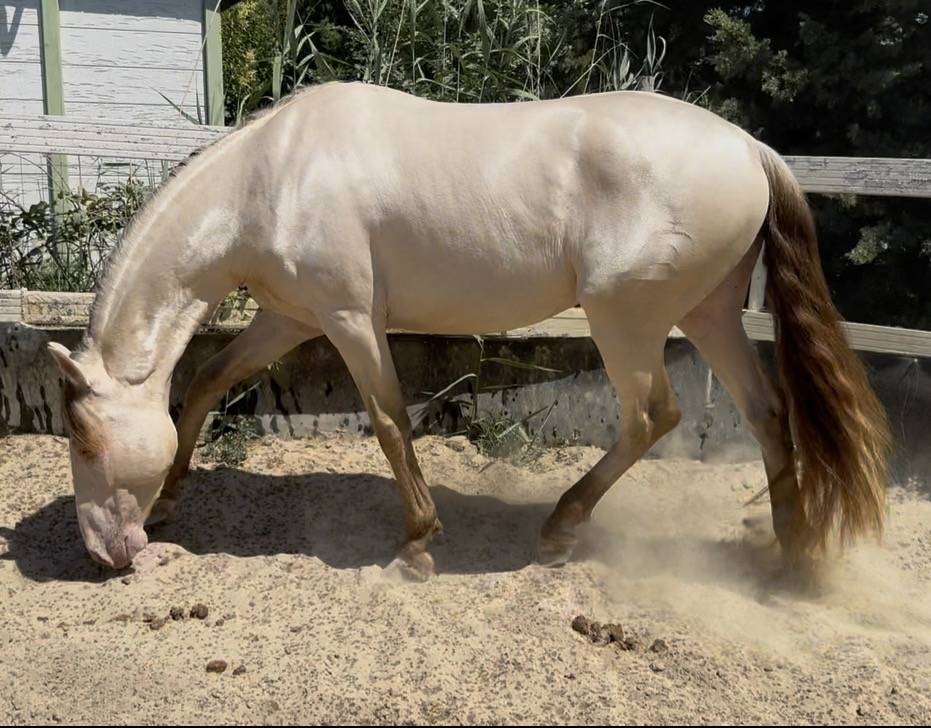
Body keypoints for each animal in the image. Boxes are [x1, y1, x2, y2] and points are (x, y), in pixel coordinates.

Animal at [47, 82, 890, 578]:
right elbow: (203, 386)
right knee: (767, 412)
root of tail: (750, 149)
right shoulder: (289, 317)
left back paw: (559, 530)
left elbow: (390, 422)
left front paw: (417, 543)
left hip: (627, 319)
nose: (100, 553)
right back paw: (785, 548)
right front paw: (168, 500)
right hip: (707, 313)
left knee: (652, 416)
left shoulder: (350, 319)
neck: (270, 176)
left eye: (83, 441)